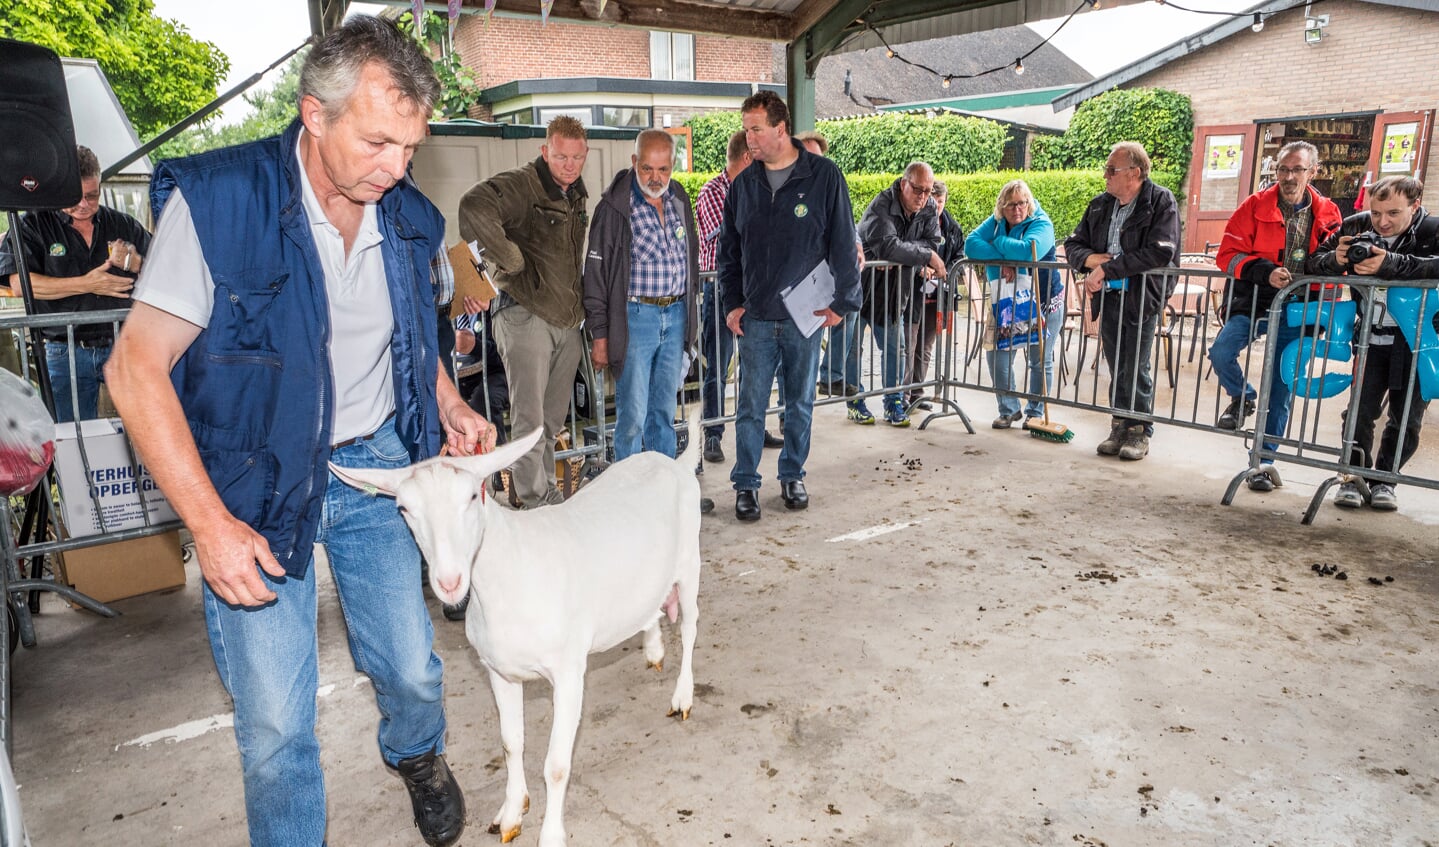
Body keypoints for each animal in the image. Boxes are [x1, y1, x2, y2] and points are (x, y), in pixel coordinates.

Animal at [330, 417, 702, 845]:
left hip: (690, 565)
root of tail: (675, 463)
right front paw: (510, 813)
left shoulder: (568, 673)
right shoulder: (499, 672)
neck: (510, 569)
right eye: (404, 509)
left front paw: (551, 834)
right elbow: (511, 744)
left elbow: (556, 765)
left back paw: (683, 696)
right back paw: (654, 648)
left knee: (690, 627)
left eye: (473, 496)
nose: (449, 582)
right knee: (651, 606)